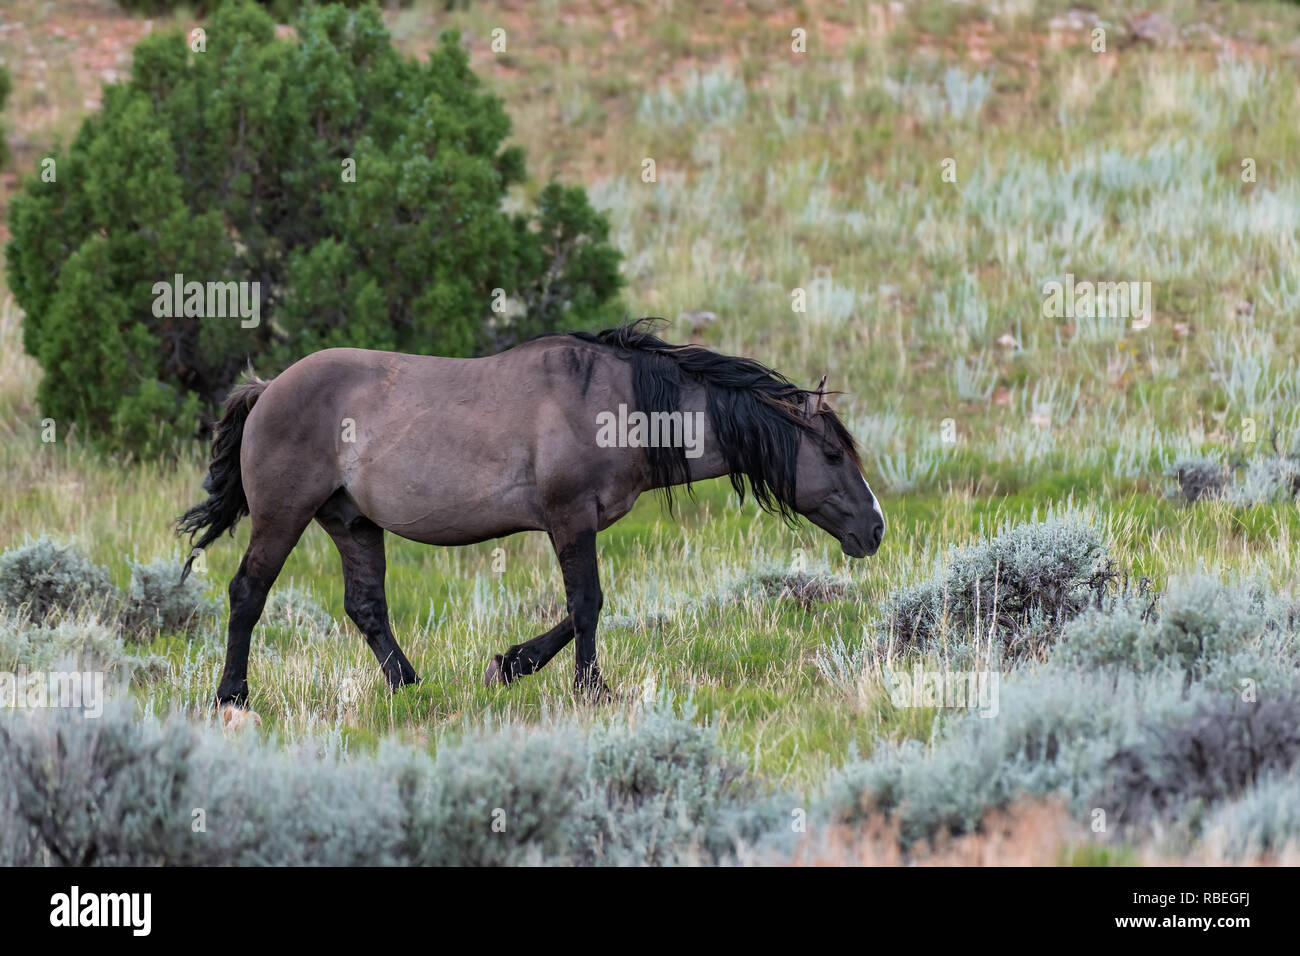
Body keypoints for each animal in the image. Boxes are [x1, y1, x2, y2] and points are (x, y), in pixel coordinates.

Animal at [180, 321, 883, 712]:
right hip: (284, 516)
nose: (873, 529)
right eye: (829, 453)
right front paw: (587, 688)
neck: (618, 405)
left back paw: (411, 688)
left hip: (351, 522)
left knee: (366, 608)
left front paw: (510, 663)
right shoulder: (570, 519)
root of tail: (268, 389)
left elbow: (574, 611)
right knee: (247, 593)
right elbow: (587, 605)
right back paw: (232, 696)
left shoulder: (575, 523)